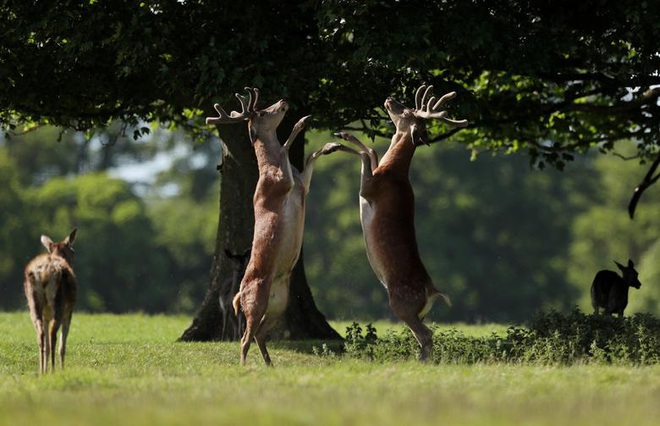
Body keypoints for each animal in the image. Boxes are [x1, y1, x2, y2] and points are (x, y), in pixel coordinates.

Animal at [23, 230, 78, 372]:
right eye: (73, 251)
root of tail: (45, 273)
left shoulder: (46, 316)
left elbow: (46, 346)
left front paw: (45, 368)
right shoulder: (69, 312)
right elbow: (62, 346)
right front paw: (62, 369)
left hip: (33, 303)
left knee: (40, 334)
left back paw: (41, 370)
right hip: (59, 303)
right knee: (53, 334)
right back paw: (53, 370)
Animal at [205, 87, 340, 366]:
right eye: (265, 112)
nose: (283, 100)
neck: (270, 171)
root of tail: (238, 294)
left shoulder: (301, 185)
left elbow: (309, 158)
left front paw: (332, 145)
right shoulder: (283, 183)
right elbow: (287, 147)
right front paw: (302, 121)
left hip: (280, 302)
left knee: (259, 334)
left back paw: (269, 365)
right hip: (256, 300)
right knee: (245, 337)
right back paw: (244, 366)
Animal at [336, 85, 470, 362]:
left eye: (407, 111)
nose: (389, 98)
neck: (393, 171)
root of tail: (431, 291)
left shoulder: (369, 189)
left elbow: (366, 154)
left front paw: (340, 141)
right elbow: (372, 151)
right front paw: (343, 134)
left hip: (401, 304)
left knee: (426, 334)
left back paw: (421, 363)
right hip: (416, 311)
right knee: (425, 334)